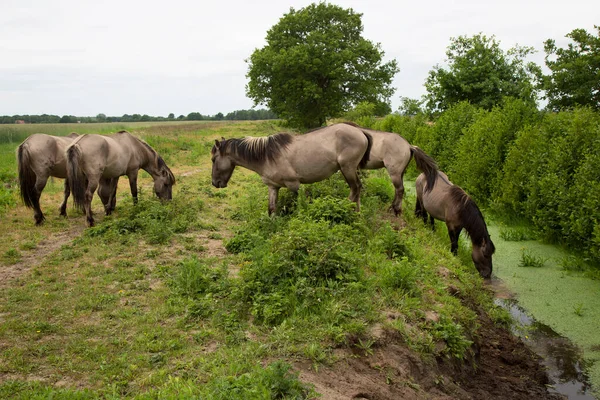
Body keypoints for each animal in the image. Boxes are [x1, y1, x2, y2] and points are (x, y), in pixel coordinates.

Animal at [210, 123, 370, 216]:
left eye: (213, 159)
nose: (214, 183)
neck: (266, 155)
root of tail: (360, 131)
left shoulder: (294, 184)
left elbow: (302, 205)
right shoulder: (273, 187)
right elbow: (272, 209)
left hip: (347, 168)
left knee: (355, 188)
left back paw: (346, 209)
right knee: (358, 189)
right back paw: (357, 215)